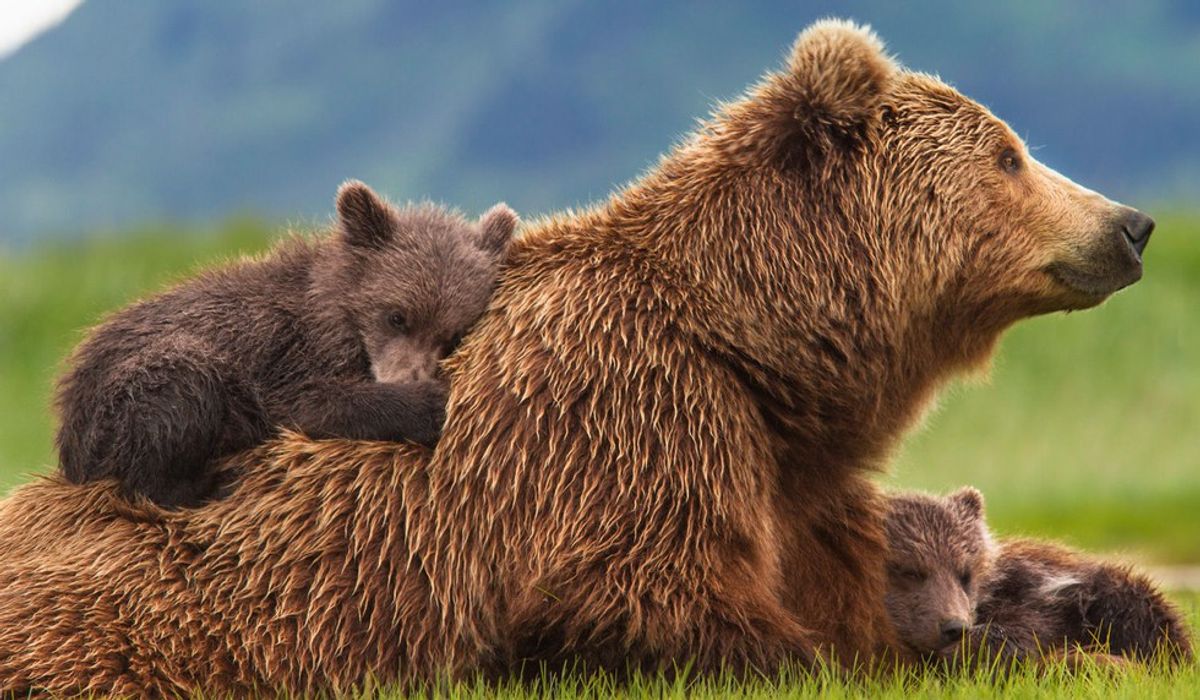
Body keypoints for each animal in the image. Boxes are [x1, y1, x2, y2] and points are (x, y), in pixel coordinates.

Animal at [54, 180, 517, 507]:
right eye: (397, 315)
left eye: (451, 334)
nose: (409, 377)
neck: (337, 315)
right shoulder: (287, 355)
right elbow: (311, 404)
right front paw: (429, 403)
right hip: (130, 393)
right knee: (179, 393)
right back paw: (211, 482)